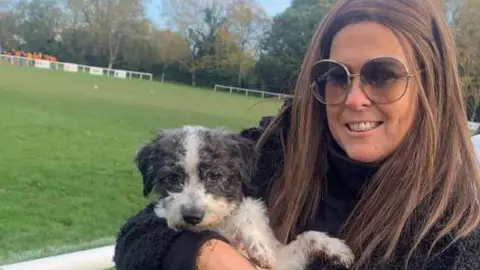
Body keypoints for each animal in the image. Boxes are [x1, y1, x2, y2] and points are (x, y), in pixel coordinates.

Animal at [134, 125, 352, 268]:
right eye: (173, 177)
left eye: (215, 175)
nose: (192, 217)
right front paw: (259, 247)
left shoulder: (283, 262)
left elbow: (306, 237)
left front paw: (337, 249)